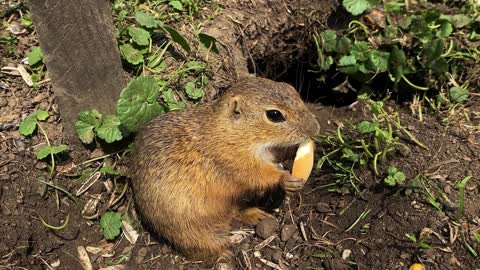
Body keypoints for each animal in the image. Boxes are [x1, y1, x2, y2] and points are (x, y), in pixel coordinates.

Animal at [129, 77, 320, 262]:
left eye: (290, 88)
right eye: (274, 115)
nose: (315, 128)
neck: (231, 131)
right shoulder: (237, 162)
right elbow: (259, 174)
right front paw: (285, 179)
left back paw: (255, 214)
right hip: (190, 229)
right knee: (199, 247)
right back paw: (222, 254)